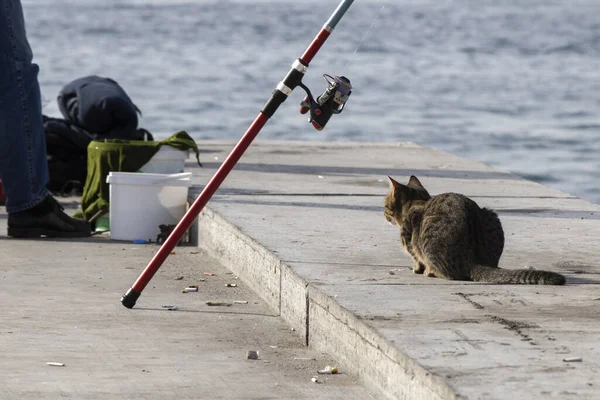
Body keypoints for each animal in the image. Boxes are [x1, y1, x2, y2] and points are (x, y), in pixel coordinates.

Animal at [384, 175, 568, 284]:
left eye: (385, 205)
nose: (384, 215)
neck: (417, 202)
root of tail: (474, 260)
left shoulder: (409, 241)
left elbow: (416, 258)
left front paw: (417, 270)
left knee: (450, 274)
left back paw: (431, 271)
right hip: (491, 215)